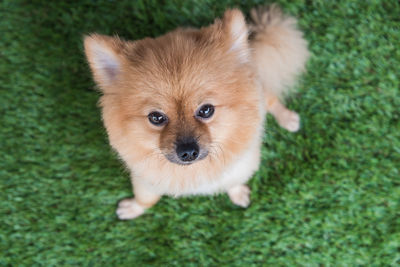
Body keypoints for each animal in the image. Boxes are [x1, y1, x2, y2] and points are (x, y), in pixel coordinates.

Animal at [83, 5, 310, 221]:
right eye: (156, 117)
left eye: (206, 110)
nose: (188, 151)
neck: (194, 172)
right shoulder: (145, 180)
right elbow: (145, 199)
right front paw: (134, 208)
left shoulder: (240, 166)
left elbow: (233, 182)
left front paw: (238, 194)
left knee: (272, 100)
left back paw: (288, 119)